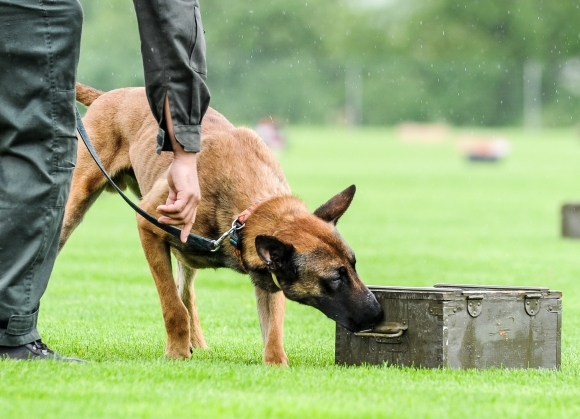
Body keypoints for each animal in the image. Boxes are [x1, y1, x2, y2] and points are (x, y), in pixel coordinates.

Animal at [61, 83, 382, 366]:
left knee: (187, 292)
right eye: (335, 278)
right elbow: (171, 305)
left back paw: (198, 343)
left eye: (354, 266)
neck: (245, 213)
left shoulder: (267, 276)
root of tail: (109, 95)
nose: (379, 314)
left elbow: (273, 329)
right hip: (75, 204)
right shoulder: (149, 227)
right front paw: (176, 353)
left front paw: (276, 364)